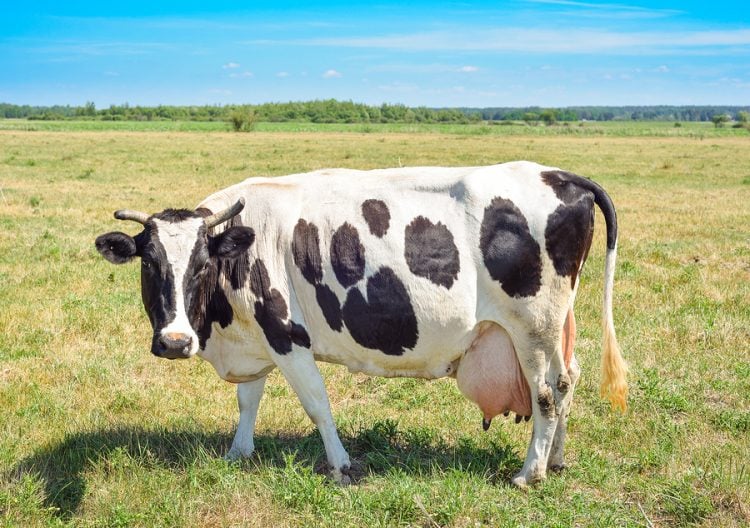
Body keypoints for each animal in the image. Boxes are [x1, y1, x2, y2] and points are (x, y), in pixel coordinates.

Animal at [95, 161, 627, 487]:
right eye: (150, 263)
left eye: (201, 264)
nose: (174, 341)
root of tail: (561, 175)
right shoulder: (257, 336)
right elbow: (249, 400)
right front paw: (238, 454)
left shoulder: (286, 335)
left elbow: (317, 406)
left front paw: (341, 465)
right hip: (556, 328)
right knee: (567, 380)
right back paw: (556, 460)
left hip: (532, 327)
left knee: (546, 392)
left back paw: (530, 472)